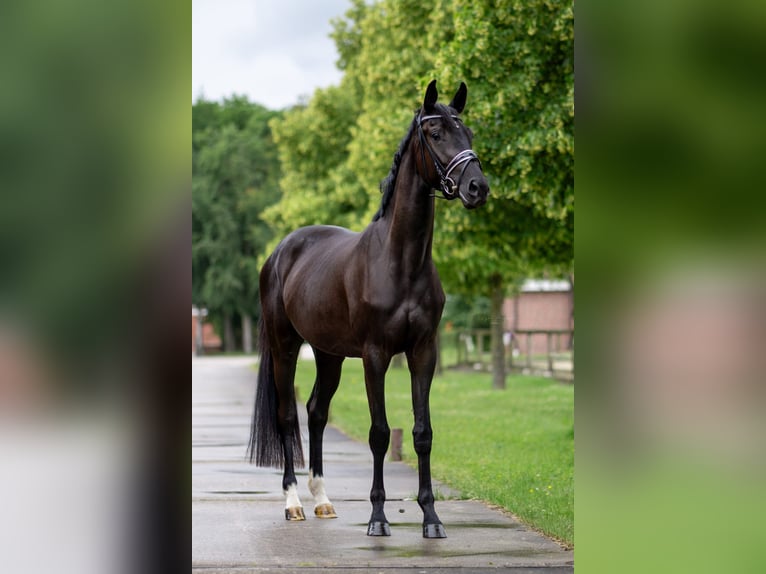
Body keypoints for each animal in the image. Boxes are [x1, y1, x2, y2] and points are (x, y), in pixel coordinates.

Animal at [252, 81, 492, 540]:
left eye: (468, 132)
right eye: (436, 133)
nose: (477, 188)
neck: (401, 262)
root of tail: (280, 252)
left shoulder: (423, 352)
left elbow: (422, 432)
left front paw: (431, 518)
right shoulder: (375, 356)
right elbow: (380, 433)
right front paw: (378, 518)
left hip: (328, 354)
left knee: (316, 412)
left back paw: (323, 500)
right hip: (285, 346)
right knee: (287, 416)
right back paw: (294, 504)